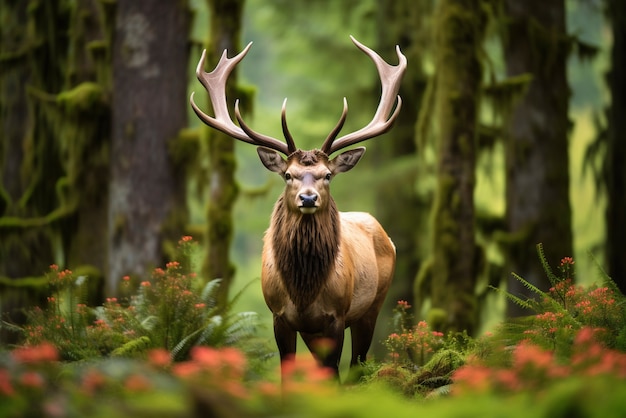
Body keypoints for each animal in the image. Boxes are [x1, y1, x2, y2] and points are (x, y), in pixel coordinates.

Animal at [190, 36, 404, 378]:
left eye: (327, 175)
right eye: (288, 175)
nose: (308, 198)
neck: (303, 291)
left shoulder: (335, 317)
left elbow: (333, 375)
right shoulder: (281, 317)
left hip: (372, 305)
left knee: (358, 364)